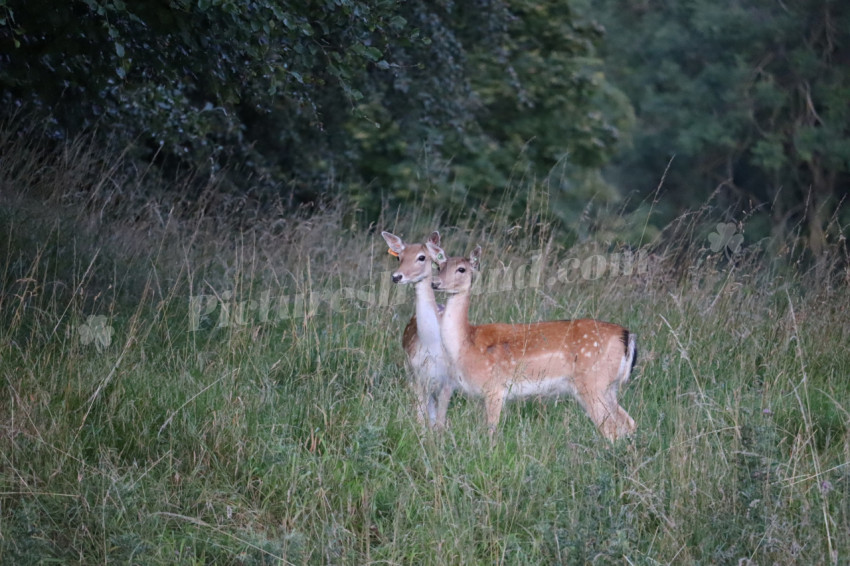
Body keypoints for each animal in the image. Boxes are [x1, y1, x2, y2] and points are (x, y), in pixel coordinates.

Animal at [380, 231, 454, 430]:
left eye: (422, 257)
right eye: (398, 257)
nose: (397, 276)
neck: (432, 345)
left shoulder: (449, 380)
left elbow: (441, 419)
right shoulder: (415, 373)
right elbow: (421, 416)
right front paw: (421, 434)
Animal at [424, 244, 636, 444]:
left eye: (461, 269)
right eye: (439, 266)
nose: (435, 283)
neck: (466, 344)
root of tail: (627, 336)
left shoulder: (494, 387)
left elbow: (491, 431)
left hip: (592, 382)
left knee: (610, 428)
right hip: (608, 386)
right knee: (628, 423)